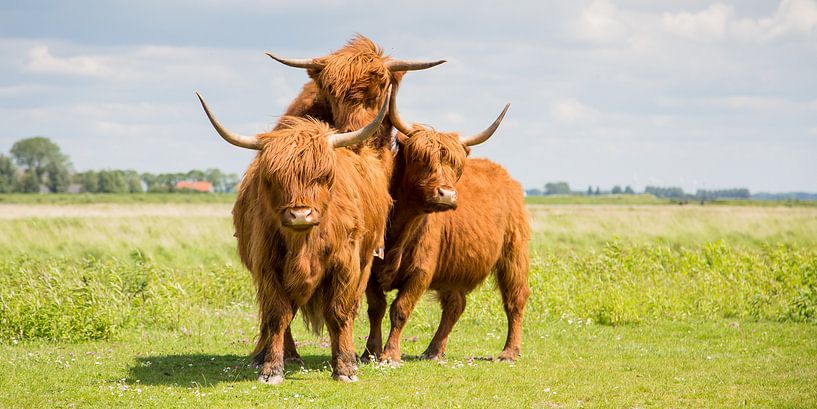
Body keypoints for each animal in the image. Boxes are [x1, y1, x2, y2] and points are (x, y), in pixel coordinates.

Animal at [194, 89, 392, 382]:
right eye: (272, 178)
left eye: (324, 176)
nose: (300, 214)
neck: (304, 244)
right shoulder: (267, 267)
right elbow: (278, 315)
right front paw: (271, 368)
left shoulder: (345, 265)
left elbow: (339, 312)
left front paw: (345, 367)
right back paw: (285, 355)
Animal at [362, 82, 528, 360]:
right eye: (420, 159)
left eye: (456, 166)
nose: (447, 194)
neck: (400, 230)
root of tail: (504, 175)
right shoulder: (367, 267)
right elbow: (376, 308)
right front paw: (370, 352)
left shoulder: (421, 271)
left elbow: (400, 309)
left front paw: (390, 355)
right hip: (456, 268)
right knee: (455, 305)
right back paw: (433, 350)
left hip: (513, 254)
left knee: (515, 299)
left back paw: (509, 351)